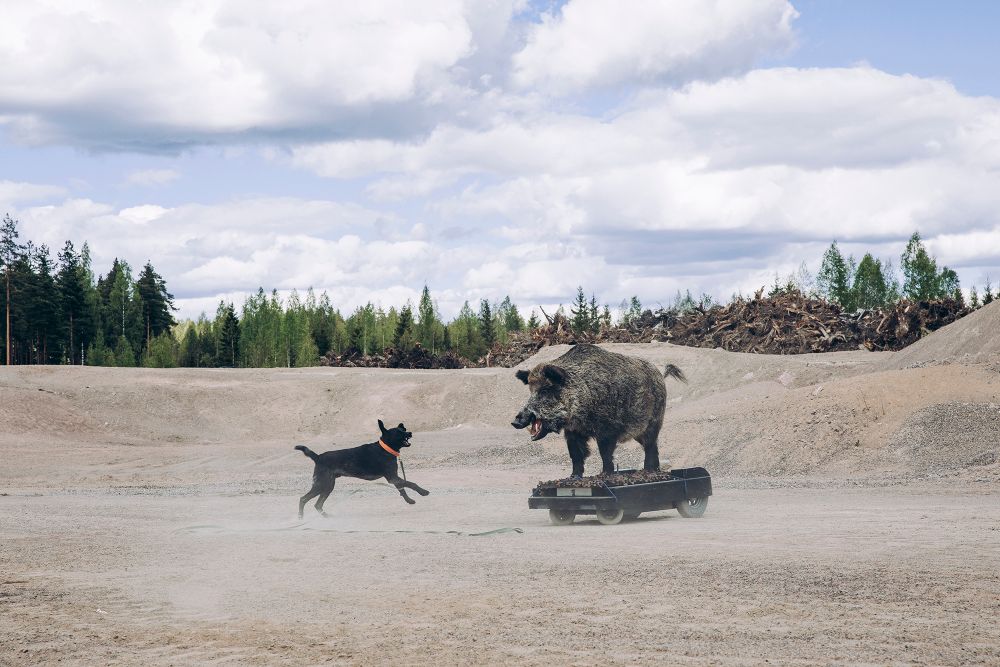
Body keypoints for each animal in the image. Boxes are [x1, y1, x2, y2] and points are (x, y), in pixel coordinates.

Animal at [292, 420, 428, 520]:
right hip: (321, 484)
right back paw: (300, 517)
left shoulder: (394, 477)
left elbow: (402, 489)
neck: (385, 448)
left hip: (328, 486)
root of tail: (318, 457)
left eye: (403, 429)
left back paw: (326, 516)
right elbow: (410, 483)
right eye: (399, 432)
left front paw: (409, 500)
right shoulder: (392, 477)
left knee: (317, 504)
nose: (410, 433)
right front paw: (423, 492)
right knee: (303, 499)